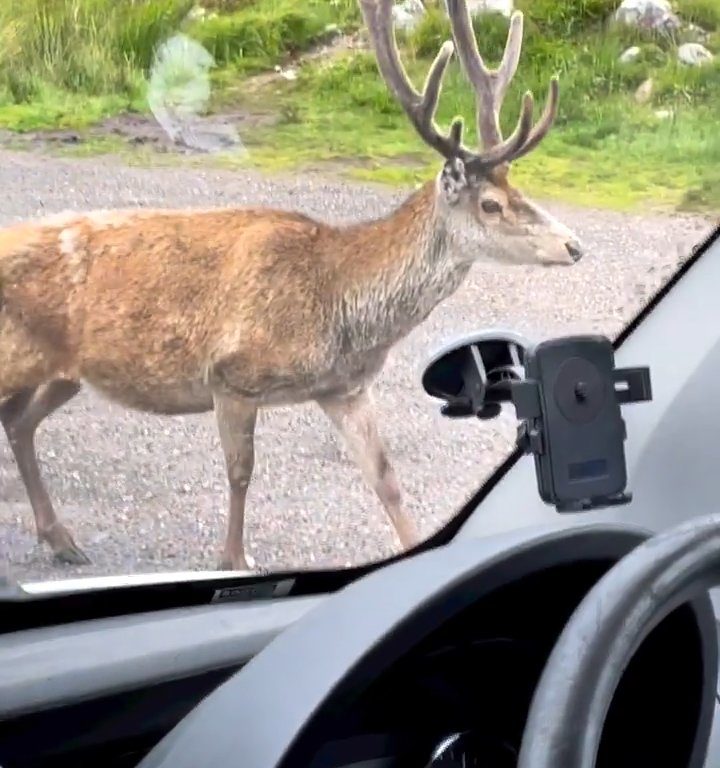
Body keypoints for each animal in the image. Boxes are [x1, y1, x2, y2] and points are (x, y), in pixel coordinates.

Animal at [0, 0, 584, 572]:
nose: (574, 244)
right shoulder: (231, 376)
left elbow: (386, 479)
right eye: (491, 204)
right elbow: (241, 472)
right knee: (17, 418)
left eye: (520, 190)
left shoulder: (344, 388)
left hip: (66, 372)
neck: (335, 304)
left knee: (19, 421)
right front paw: (234, 560)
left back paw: (62, 539)